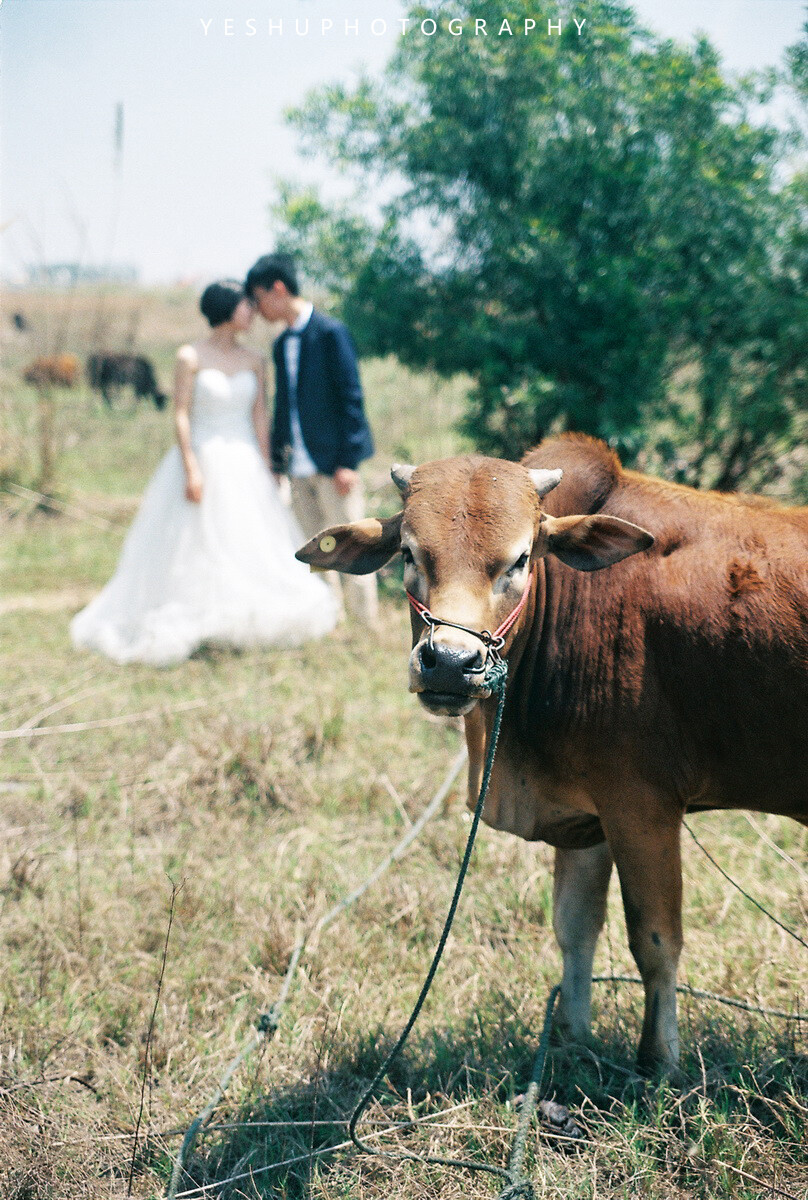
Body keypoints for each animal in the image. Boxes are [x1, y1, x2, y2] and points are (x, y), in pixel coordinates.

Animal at [297, 436, 806, 1075]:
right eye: (410, 553)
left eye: (519, 560)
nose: (449, 663)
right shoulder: (588, 816)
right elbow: (574, 927)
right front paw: (570, 1041)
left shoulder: (643, 808)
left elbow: (655, 941)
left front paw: (660, 1064)